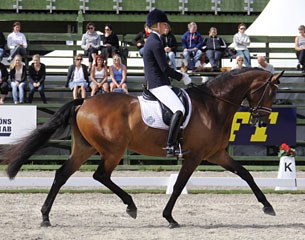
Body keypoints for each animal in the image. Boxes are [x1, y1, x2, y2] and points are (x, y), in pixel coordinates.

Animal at [1, 68, 282, 229]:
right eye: (270, 93)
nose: (262, 121)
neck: (213, 106)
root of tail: (84, 101)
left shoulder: (216, 154)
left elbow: (245, 174)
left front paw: (268, 207)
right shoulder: (195, 157)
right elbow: (178, 186)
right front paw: (169, 218)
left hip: (85, 148)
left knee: (62, 174)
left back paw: (46, 217)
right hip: (113, 150)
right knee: (100, 175)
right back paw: (131, 206)